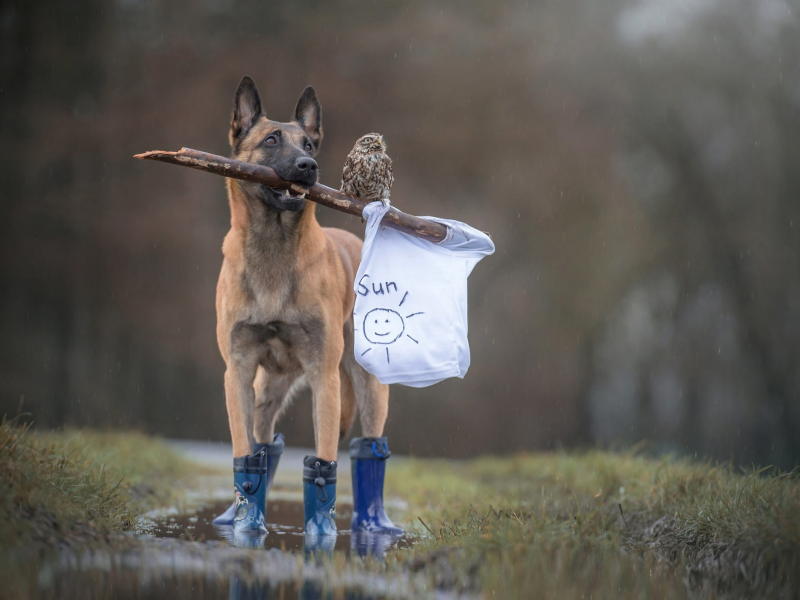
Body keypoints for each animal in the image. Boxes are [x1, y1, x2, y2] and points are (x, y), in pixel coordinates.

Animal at [216, 77, 390, 462]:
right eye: (271, 140)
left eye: (308, 144)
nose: (308, 165)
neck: (273, 245)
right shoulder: (238, 370)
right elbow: (243, 452)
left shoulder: (323, 376)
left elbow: (325, 457)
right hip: (269, 388)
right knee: (264, 440)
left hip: (368, 386)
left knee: (371, 444)